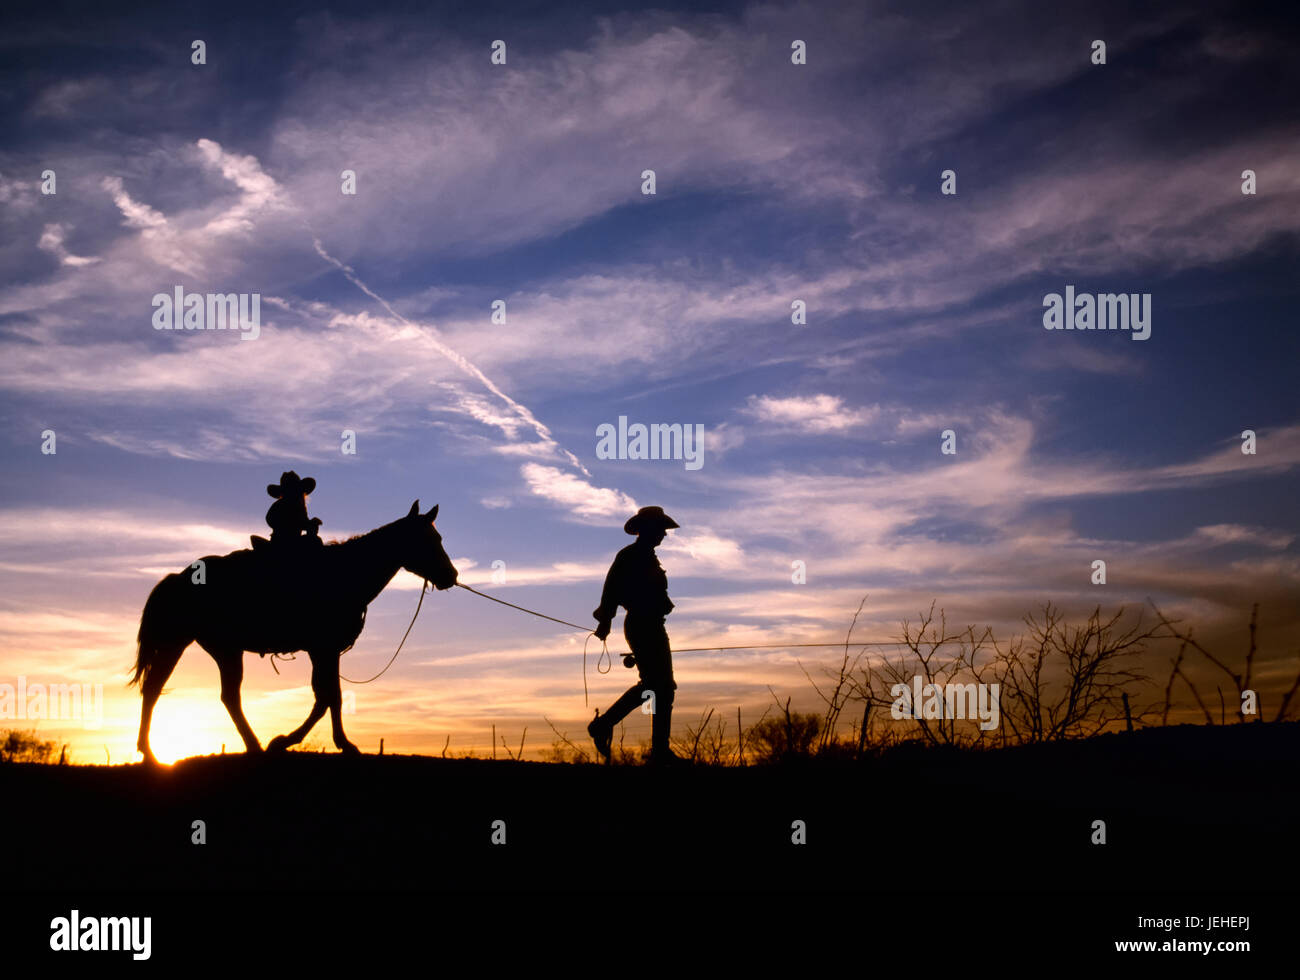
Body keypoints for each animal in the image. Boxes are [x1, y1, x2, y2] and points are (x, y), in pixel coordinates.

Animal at [131, 499, 457, 759]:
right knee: (192, 692)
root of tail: (178, 577)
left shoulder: (326, 650)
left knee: (178, 690)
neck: (345, 573)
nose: (451, 575)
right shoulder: (322, 648)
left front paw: (337, 742)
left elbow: (331, 695)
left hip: (200, 646)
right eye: (429, 539)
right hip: (205, 646)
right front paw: (289, 741)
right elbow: (327, 696)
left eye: (439, 536)